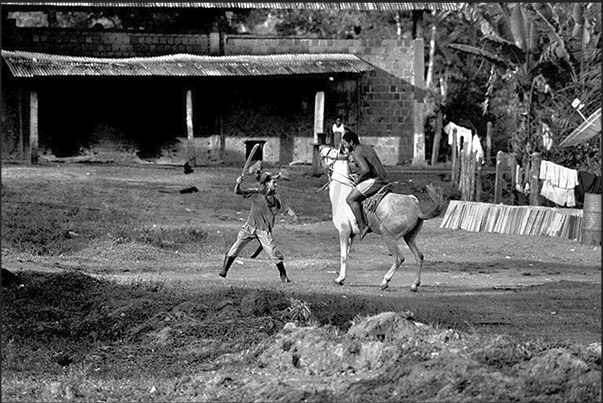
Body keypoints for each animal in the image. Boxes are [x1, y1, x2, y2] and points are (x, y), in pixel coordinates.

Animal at [318, 145, 446, 294]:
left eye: (332, 152)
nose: (320, 147)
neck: (342, 191)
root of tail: (415, 206)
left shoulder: (343, 231)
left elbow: (343, 255)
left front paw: (339, 279)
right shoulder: (351, 235)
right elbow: (347, 254)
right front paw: (342, 277)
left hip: (388, 236)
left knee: (399, 258)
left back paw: (385, 281)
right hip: (409, 237)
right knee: (419, 257)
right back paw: (414, 285)